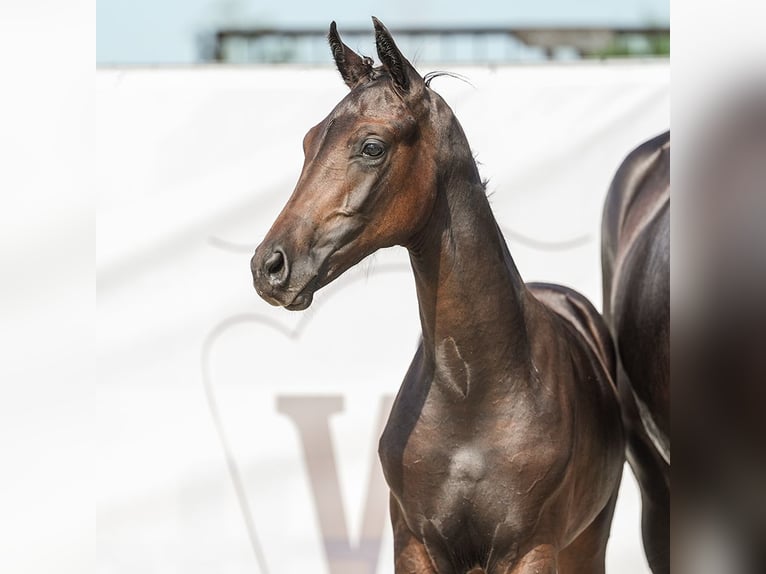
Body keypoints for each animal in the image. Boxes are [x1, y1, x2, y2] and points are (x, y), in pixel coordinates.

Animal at [255, 19, 628, 574]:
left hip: (587, 544)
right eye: (307, 142)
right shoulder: (414, 545)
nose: (269, 266)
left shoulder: (532, 549)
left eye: (372, 146)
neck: (473, 393)